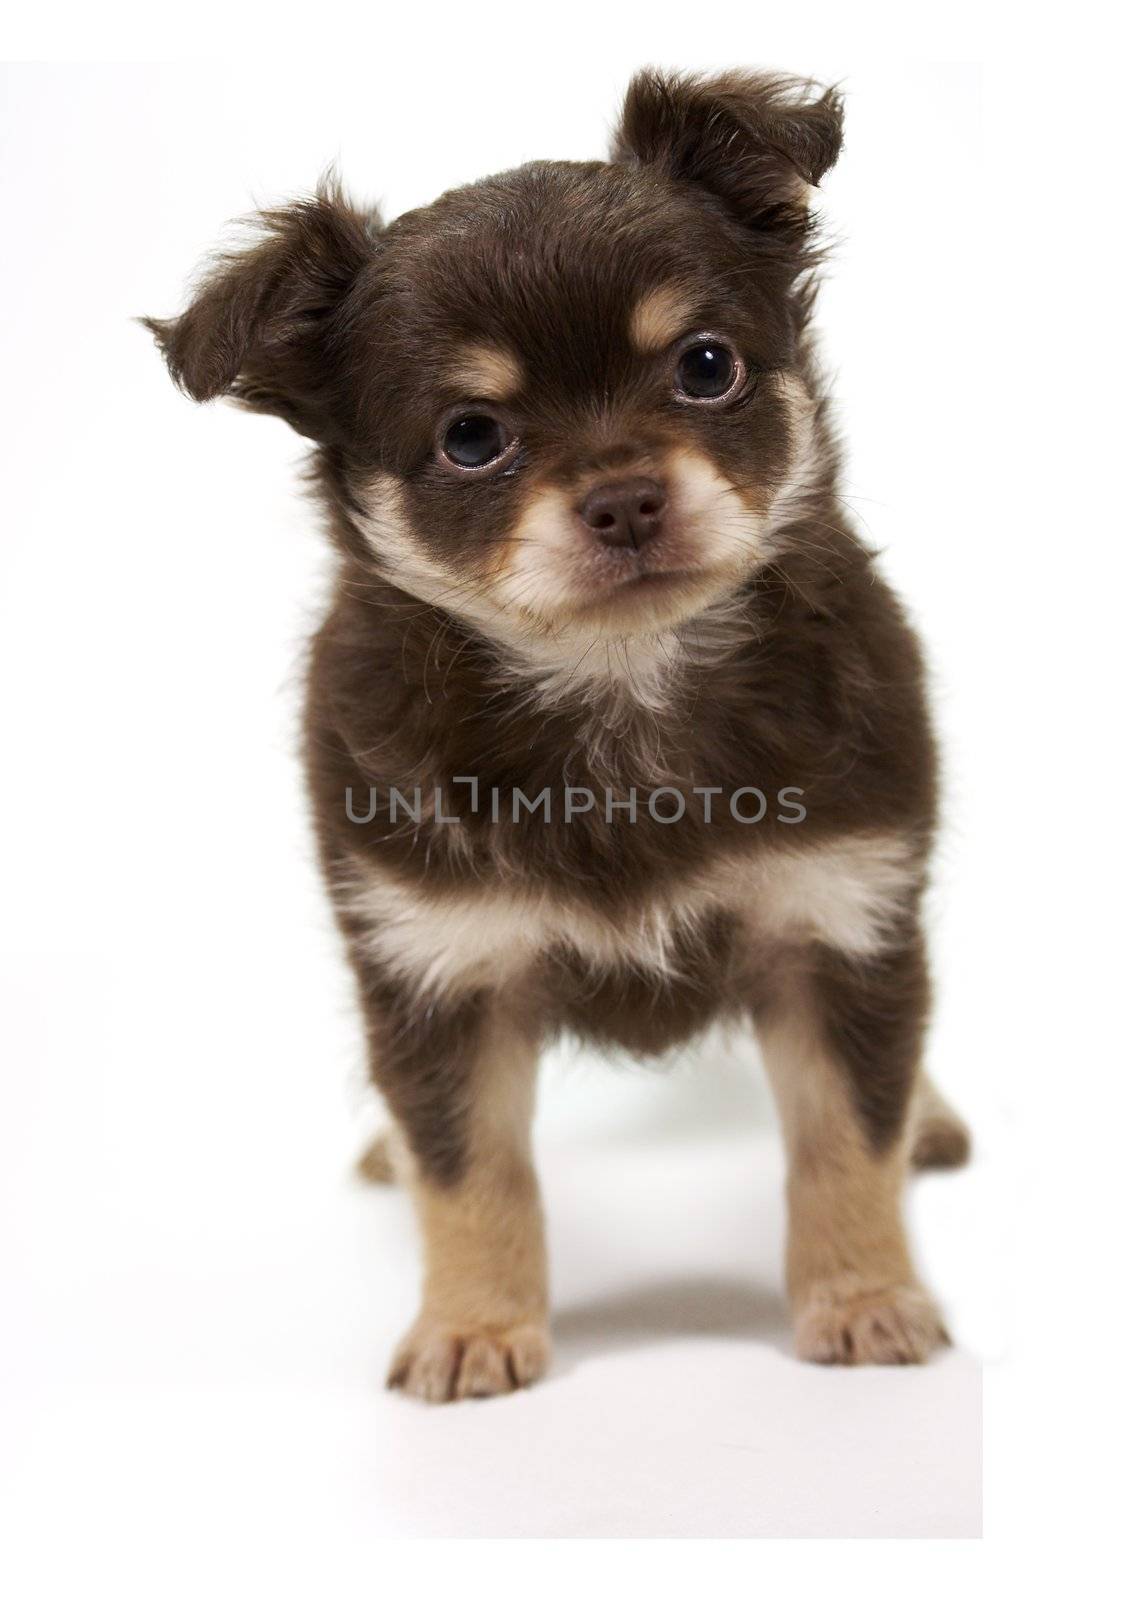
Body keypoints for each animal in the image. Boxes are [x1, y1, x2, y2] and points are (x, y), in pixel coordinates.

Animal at [142, 72, 960, 1401]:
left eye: (706, 367)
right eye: (472, 437)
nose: (625, 497)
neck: (616, 690)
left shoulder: (840, 919)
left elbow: (848, 1133)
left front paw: (865, 1293)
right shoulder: (435, 966)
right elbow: (470, 1168)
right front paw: (474, 1323)